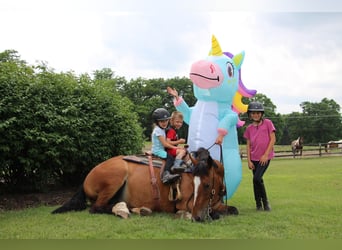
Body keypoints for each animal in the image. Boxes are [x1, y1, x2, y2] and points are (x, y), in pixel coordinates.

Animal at [52, 147, 238, 222]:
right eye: (195, 183)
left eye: (206, 185)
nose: (197, 218)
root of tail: (86, 178)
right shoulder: (186, 204)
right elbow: (214, 213)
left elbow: (232, 210)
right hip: (116, 176)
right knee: (96, 207)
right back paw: (126, 209)